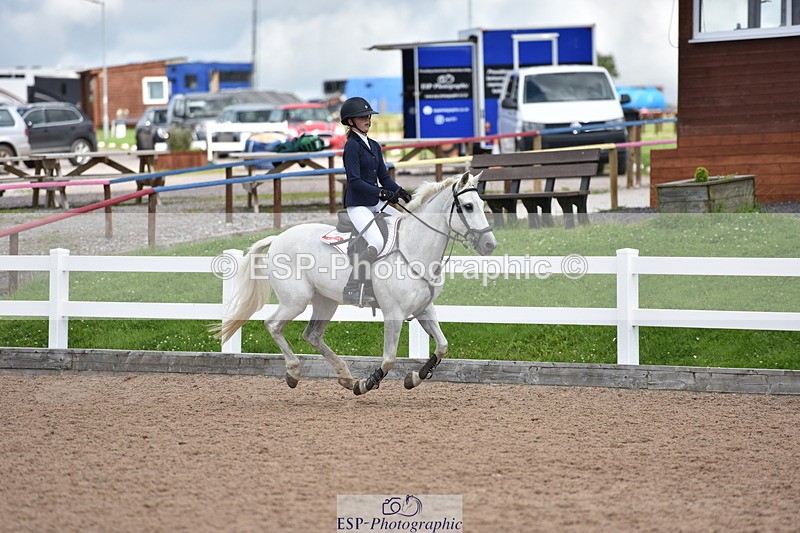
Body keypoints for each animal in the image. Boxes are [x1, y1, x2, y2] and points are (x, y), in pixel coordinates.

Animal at [212, 171, 497, 395]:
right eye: (468, 206)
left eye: (482, 203)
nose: (490, 245)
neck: (414, 247)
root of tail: (278, 238)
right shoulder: (394, 314)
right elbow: (389, 359)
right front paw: (367, 383)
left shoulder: (424, 309)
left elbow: (442, 346)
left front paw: (414, 378)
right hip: (296, 300)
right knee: (273, 325)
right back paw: (294, 372)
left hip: (325, 301)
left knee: (312, 335)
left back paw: (345, 376)